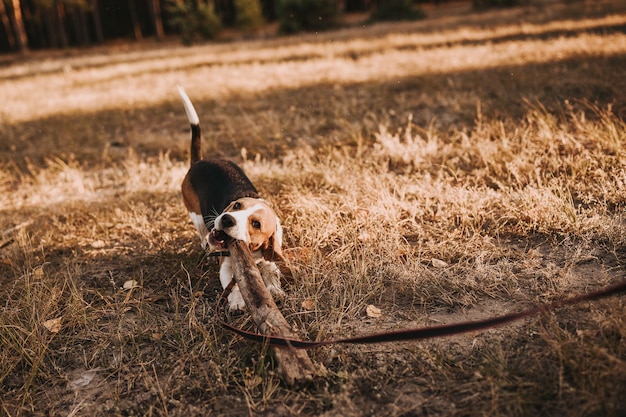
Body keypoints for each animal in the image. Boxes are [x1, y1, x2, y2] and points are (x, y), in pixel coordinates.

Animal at [177, 87, 288, 308]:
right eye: (236, 205)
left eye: (256, 224)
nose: (227, 219)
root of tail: (200, 161)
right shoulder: (227, 264)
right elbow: (232, 283)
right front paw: (237, 300)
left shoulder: (269, 260)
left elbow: (271, 273)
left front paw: (275, 290)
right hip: (197, 217)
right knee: (203, 235)